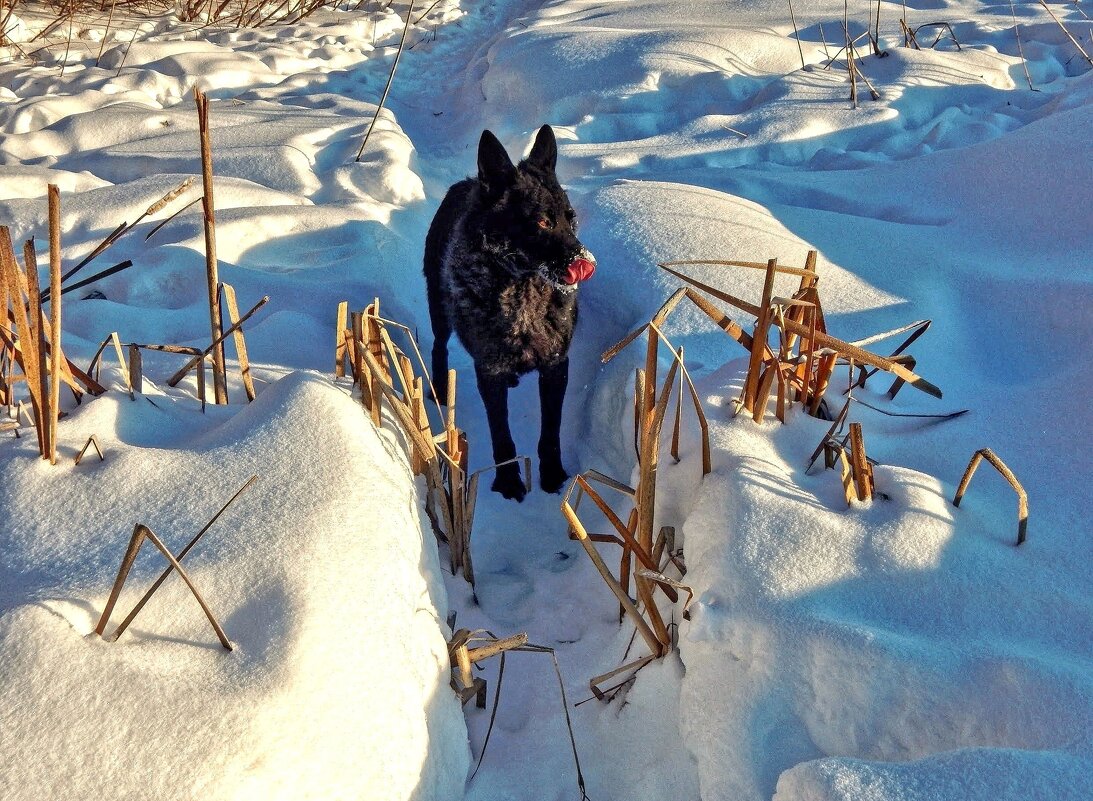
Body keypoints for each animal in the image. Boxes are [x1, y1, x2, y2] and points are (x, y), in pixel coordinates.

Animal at [424, 125, 598, 500]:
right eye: (543, 222)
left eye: (571, 218)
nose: (586, 263)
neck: (522, 291)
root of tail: (469, 182)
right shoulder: (488, 370)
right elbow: (501, 435)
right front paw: (508, 481)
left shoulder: (556, 366)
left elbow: (550, 432)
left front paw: (552, 474)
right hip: (437, 306)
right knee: (438, 344)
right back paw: (440, 387)